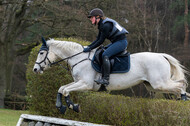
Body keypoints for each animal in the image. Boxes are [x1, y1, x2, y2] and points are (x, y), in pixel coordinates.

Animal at [33, 38, 189, 114]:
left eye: (41, 53)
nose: (35, 69)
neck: (79, 58)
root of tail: (161, 55)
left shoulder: (86, 84)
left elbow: (65, 90)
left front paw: (72, 106)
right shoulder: (78, 82)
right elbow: (61, 88)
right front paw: (62, 106)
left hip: (159, 84)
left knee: (181, 84)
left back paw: (182, 98)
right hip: (153, 86)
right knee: (180, 86)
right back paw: (182, 99)